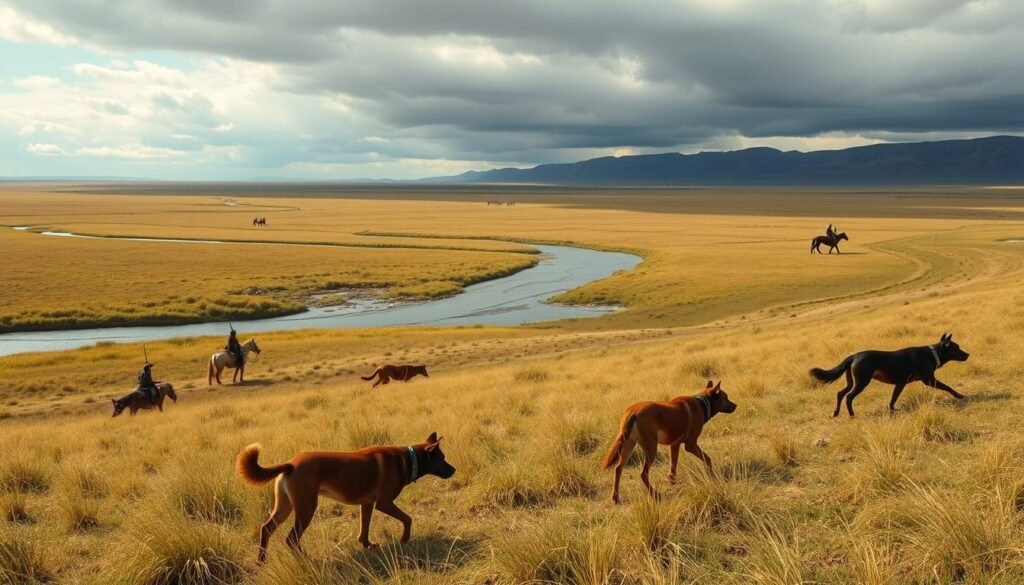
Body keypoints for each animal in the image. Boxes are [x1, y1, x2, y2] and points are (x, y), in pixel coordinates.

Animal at [237, 434, 454, 561]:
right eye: (443, 459)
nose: (454, 470)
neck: (409, 459)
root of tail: (290, 464)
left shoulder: (367, 504)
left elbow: (364, 529)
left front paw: (367, 545)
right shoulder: (384, 503)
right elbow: (408, 519)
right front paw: (405, 539)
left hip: (285, 506)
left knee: (266, 529)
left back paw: (261, 561)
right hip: (306, 508)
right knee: (291, 538)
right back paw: (306, 559)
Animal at [598, 379, 737, 504]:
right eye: (726, 397)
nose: (736, 405)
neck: (703, 403)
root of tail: (633, 412)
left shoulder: (674, 445)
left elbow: (673, 465)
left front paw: (672, 480)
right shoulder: (691, 445)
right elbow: (708, 458)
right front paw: (711, 474)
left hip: (628, 446)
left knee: (618, 469)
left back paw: (615, 498)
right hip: (651, 449)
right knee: (643, 474)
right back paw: (654, 495)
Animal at [806, 331, 966, 418]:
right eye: (957, 348)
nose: (968, 354)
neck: (932, 354)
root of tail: (853, 356)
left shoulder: (900, 383)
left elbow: (893, 398)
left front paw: (892, 409)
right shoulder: (929, 380)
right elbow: (948, 387)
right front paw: (960, 395)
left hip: (851, 382)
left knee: (840, 393)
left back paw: (836, 412)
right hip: (861, 382)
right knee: (848, 397)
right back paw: (851, 414)